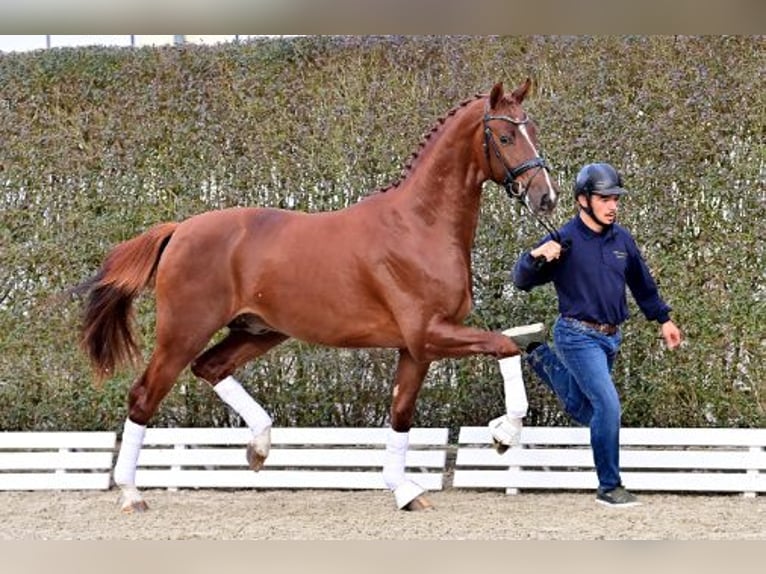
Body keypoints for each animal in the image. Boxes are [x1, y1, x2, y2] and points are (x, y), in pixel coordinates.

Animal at [75, 79, 560, 516]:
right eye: (505, 136)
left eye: (534, 129)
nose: (546, 197)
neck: (420, 225)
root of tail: (179, 230)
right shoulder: (430, 334)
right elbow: (505, 345)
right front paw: (502, 435)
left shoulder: (415, 349)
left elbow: (401, 414)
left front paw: (404, 489)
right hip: (183, 332)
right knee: (144, 396)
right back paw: (131, 493)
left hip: (259, 331)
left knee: (210, 368)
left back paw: (259, 447)